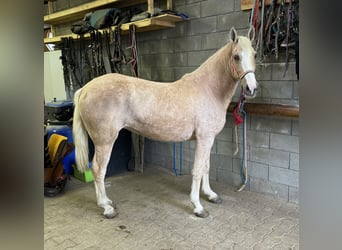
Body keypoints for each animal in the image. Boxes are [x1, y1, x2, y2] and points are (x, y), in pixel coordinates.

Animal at [73, 27, 258, 218]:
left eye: (255, 54)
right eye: (236, 56)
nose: (251, 89)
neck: (209, 90)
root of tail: (85, 89)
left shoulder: (209, 139)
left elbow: (206, 167)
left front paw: (211, 195)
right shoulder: (203, 139)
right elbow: (198, 170)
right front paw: (198, 206)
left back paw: (108, 202)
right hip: (104, 142)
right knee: (98, 169)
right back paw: (106, 207)